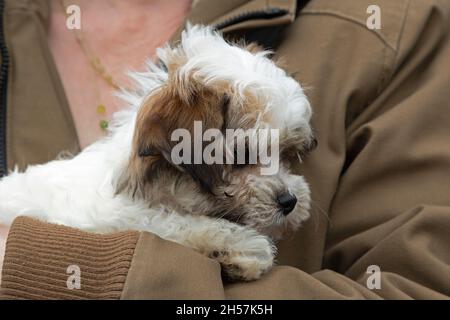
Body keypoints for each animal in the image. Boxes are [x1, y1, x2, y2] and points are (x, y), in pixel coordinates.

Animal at [0, 25, 314, 280]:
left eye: (286, 153)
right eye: (242, 156)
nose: (290, 201)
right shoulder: (97, 218)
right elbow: (159, 221)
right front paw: (238, 244)